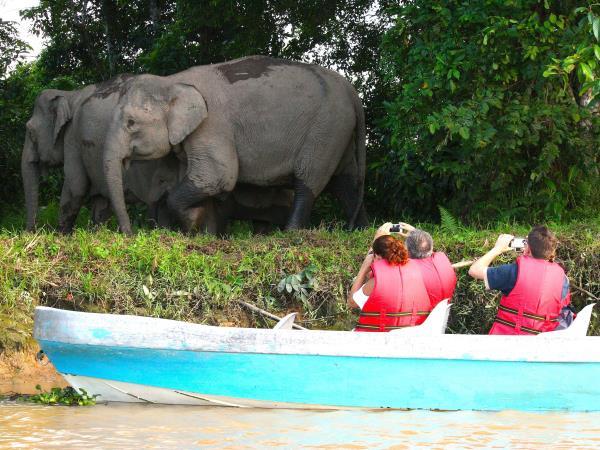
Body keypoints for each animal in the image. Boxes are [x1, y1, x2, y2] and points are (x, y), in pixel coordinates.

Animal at [101, 54, 368, 234]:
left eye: (131, 123)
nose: (129, 235)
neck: (172, 81)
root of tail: (352, 91)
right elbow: (205, 179)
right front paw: (204, 231)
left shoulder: (212, 125)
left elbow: (219, 175)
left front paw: (193, 222)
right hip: (338, 130)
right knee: (346, 181)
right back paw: (360, 230)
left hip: (325, 128)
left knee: (309, 180)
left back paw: (291, 233)